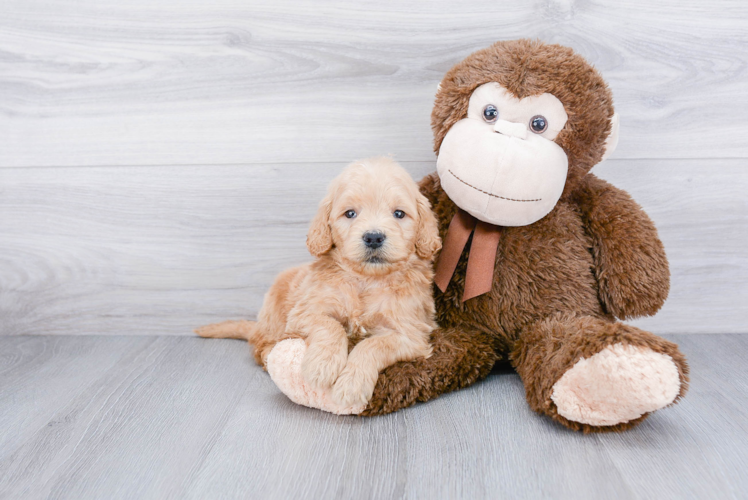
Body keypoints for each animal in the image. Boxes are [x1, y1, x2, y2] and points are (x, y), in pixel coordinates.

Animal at [199, 158, 444, 408]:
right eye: (350, 213)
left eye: (399, 213)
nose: (374, 237)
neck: (366, 279)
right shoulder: (304, 312)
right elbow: (331, 325)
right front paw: (322, 366)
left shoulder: (412, 334)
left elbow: (372, 345)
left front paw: (351, 386)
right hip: (275, 312)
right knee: (261, 346)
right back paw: (270, 356)